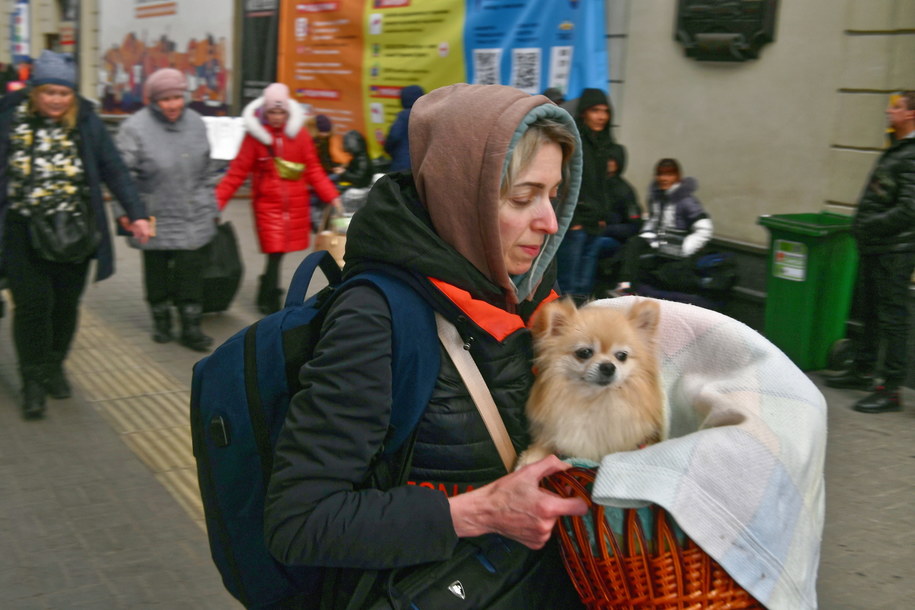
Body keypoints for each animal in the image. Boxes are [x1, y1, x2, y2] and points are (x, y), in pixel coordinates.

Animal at [516, 296, 664, 466]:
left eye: (622, 356)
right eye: (585, 352)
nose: (608, 366)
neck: (595, 399)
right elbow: (541, 447)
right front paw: (527, 462)